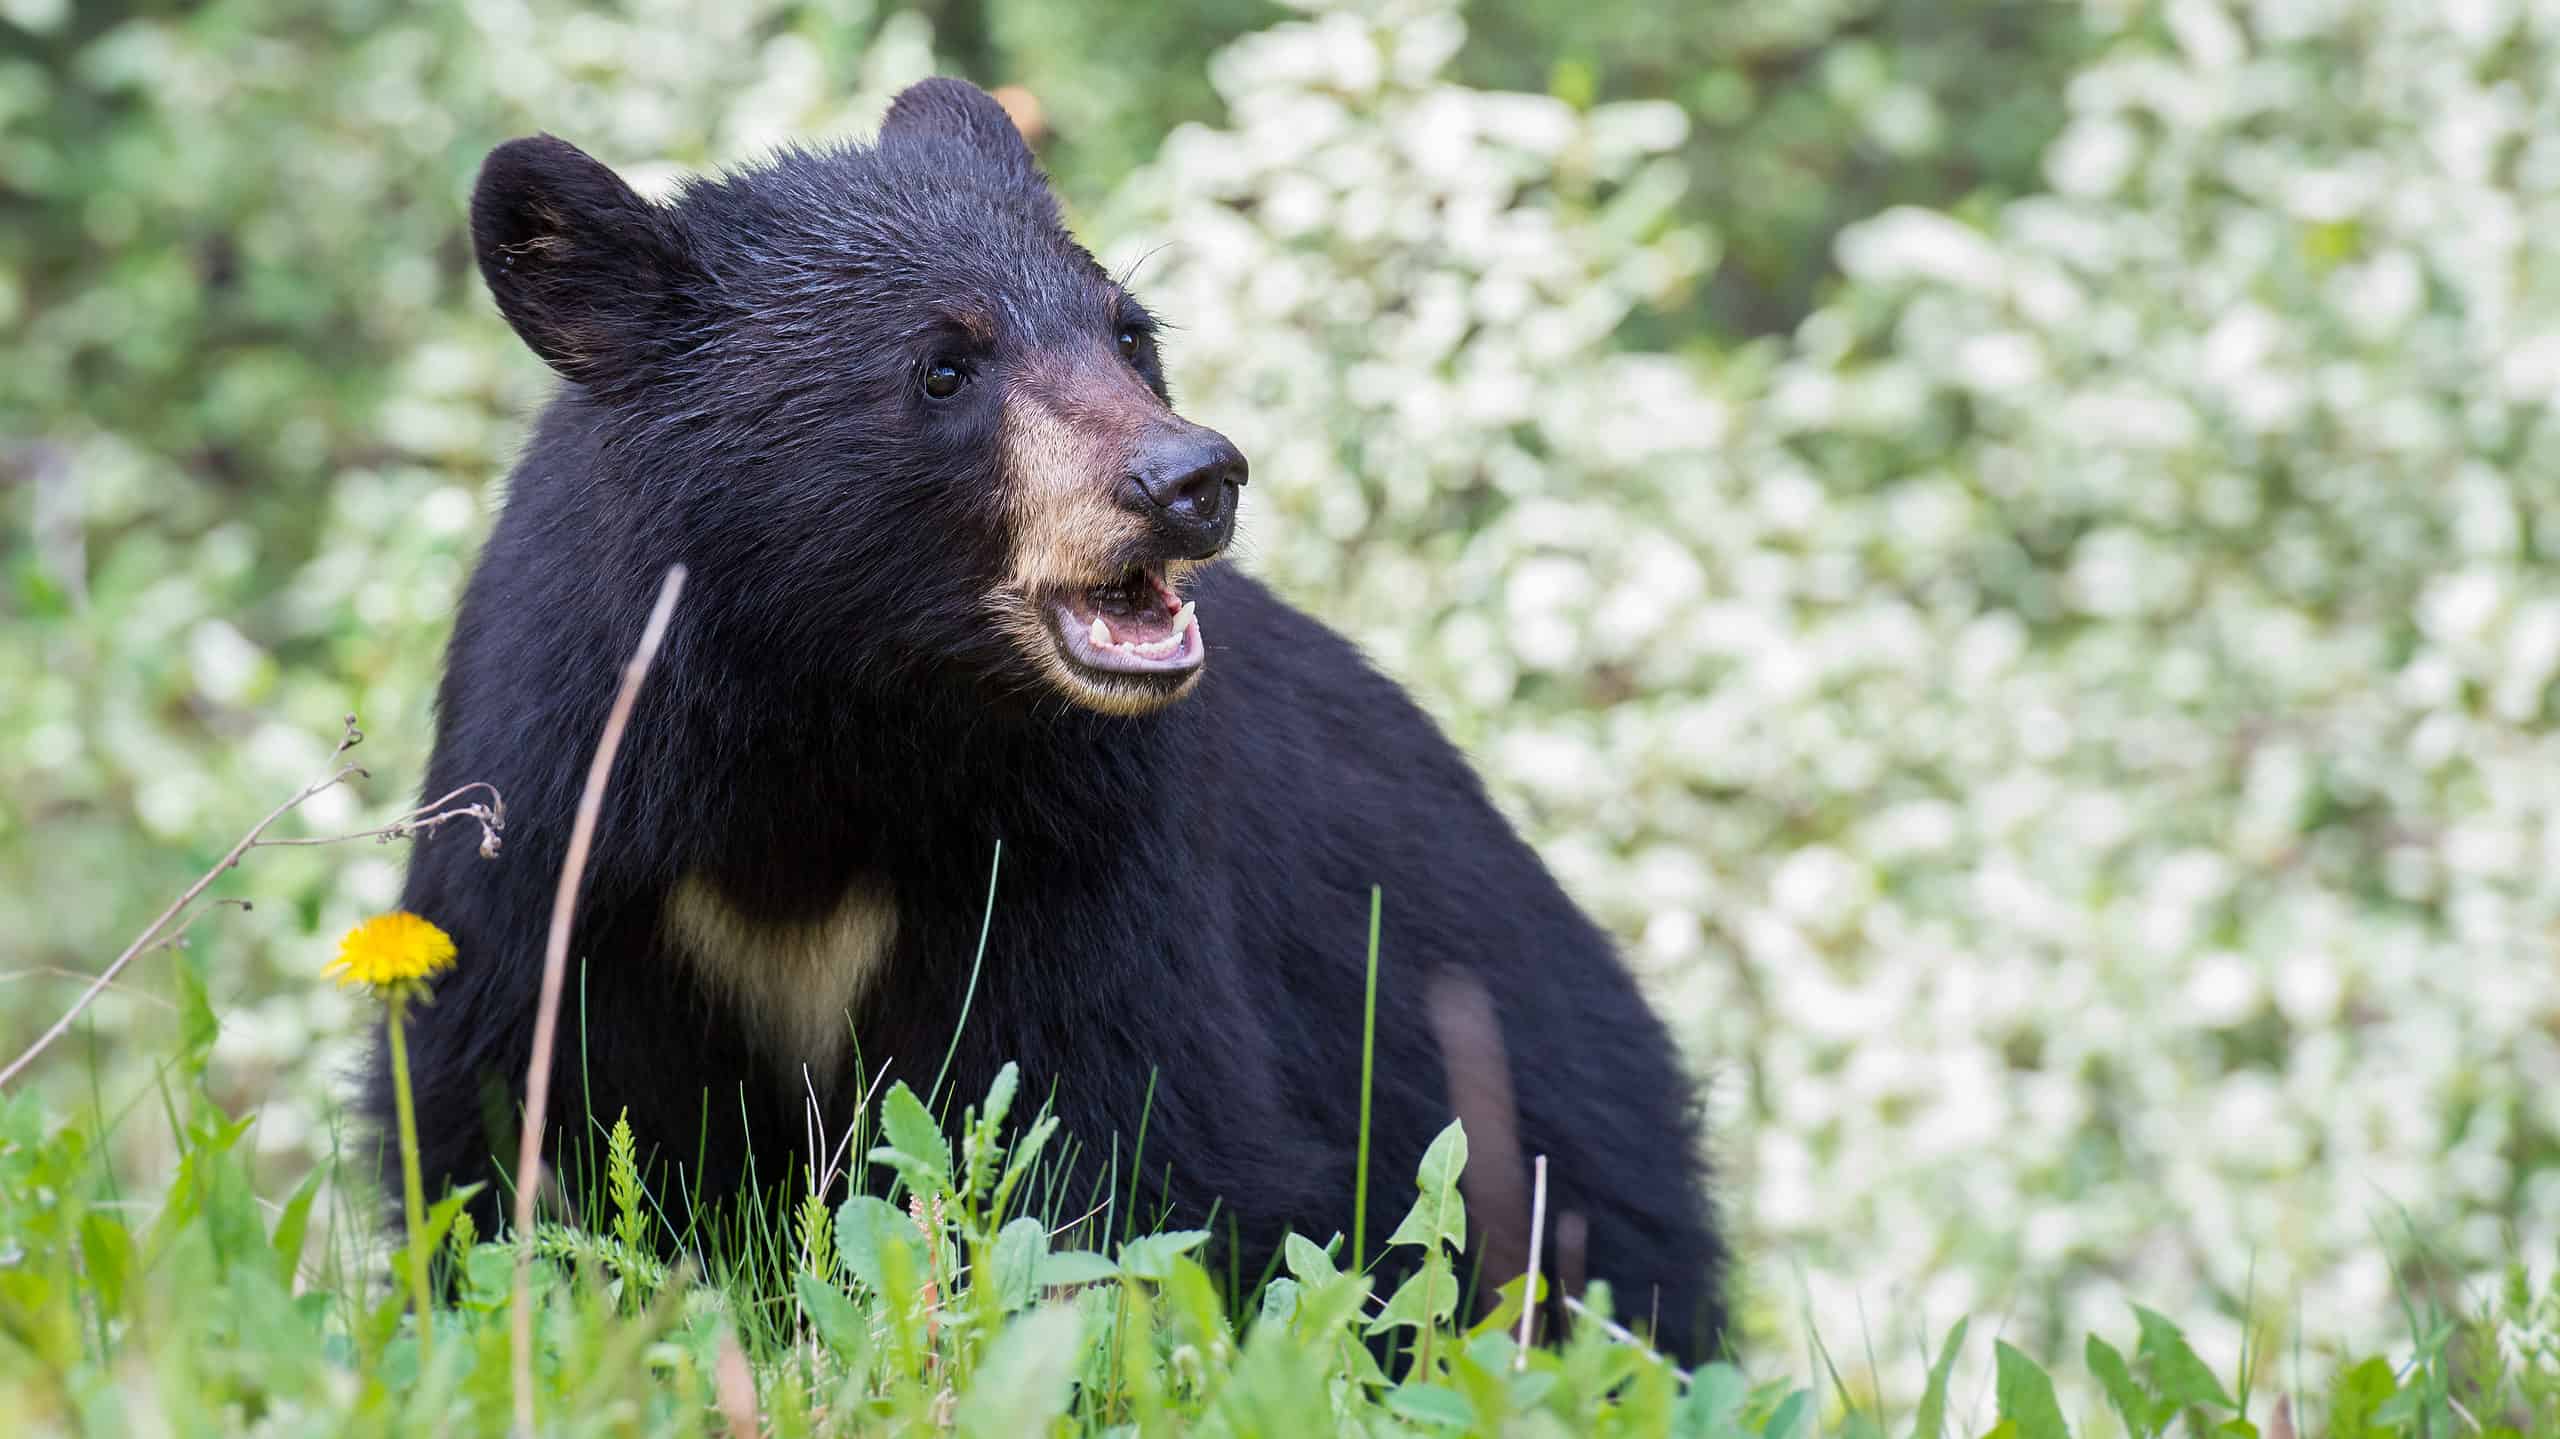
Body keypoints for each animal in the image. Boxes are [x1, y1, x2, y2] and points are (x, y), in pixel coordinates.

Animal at [369, 77, 1726, 1360]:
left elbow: (1118, 1137)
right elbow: (507, 1120)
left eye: (1131, 334)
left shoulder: (1077, 841)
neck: (830, 717)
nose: (1190, 479)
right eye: (942, 366)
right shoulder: (567, 820)